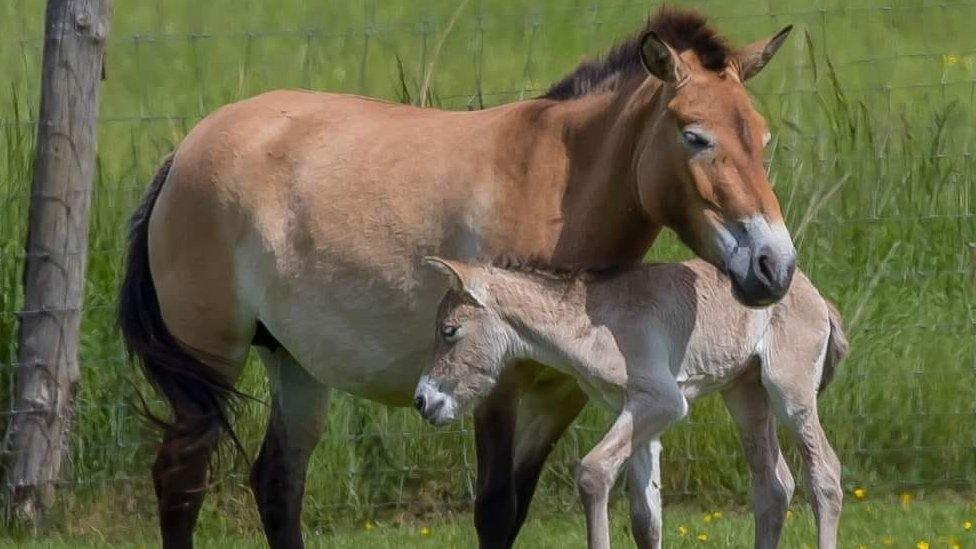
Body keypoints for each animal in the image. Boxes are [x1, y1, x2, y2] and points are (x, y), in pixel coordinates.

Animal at [118, 7, 796, 548]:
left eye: (762, 138)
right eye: (695, 137)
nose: (775, 267)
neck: (554, 189)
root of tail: (183, 153)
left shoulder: (558, 395)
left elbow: (518, 508)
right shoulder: (496, 388)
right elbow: (494, 511)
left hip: (295, 365)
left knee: (278, 483)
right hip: (209, 363)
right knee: (180, 481)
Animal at [412, 258, 848, 548]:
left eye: (449, 331)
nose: (422, 400)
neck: (590, 327)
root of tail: (819, 298)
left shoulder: (663, 401)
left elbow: (593, 473)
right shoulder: (636, 411)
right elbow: (645, 518)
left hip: (789, 390)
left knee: (824, 473)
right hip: (745, 393)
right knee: (774, 485)